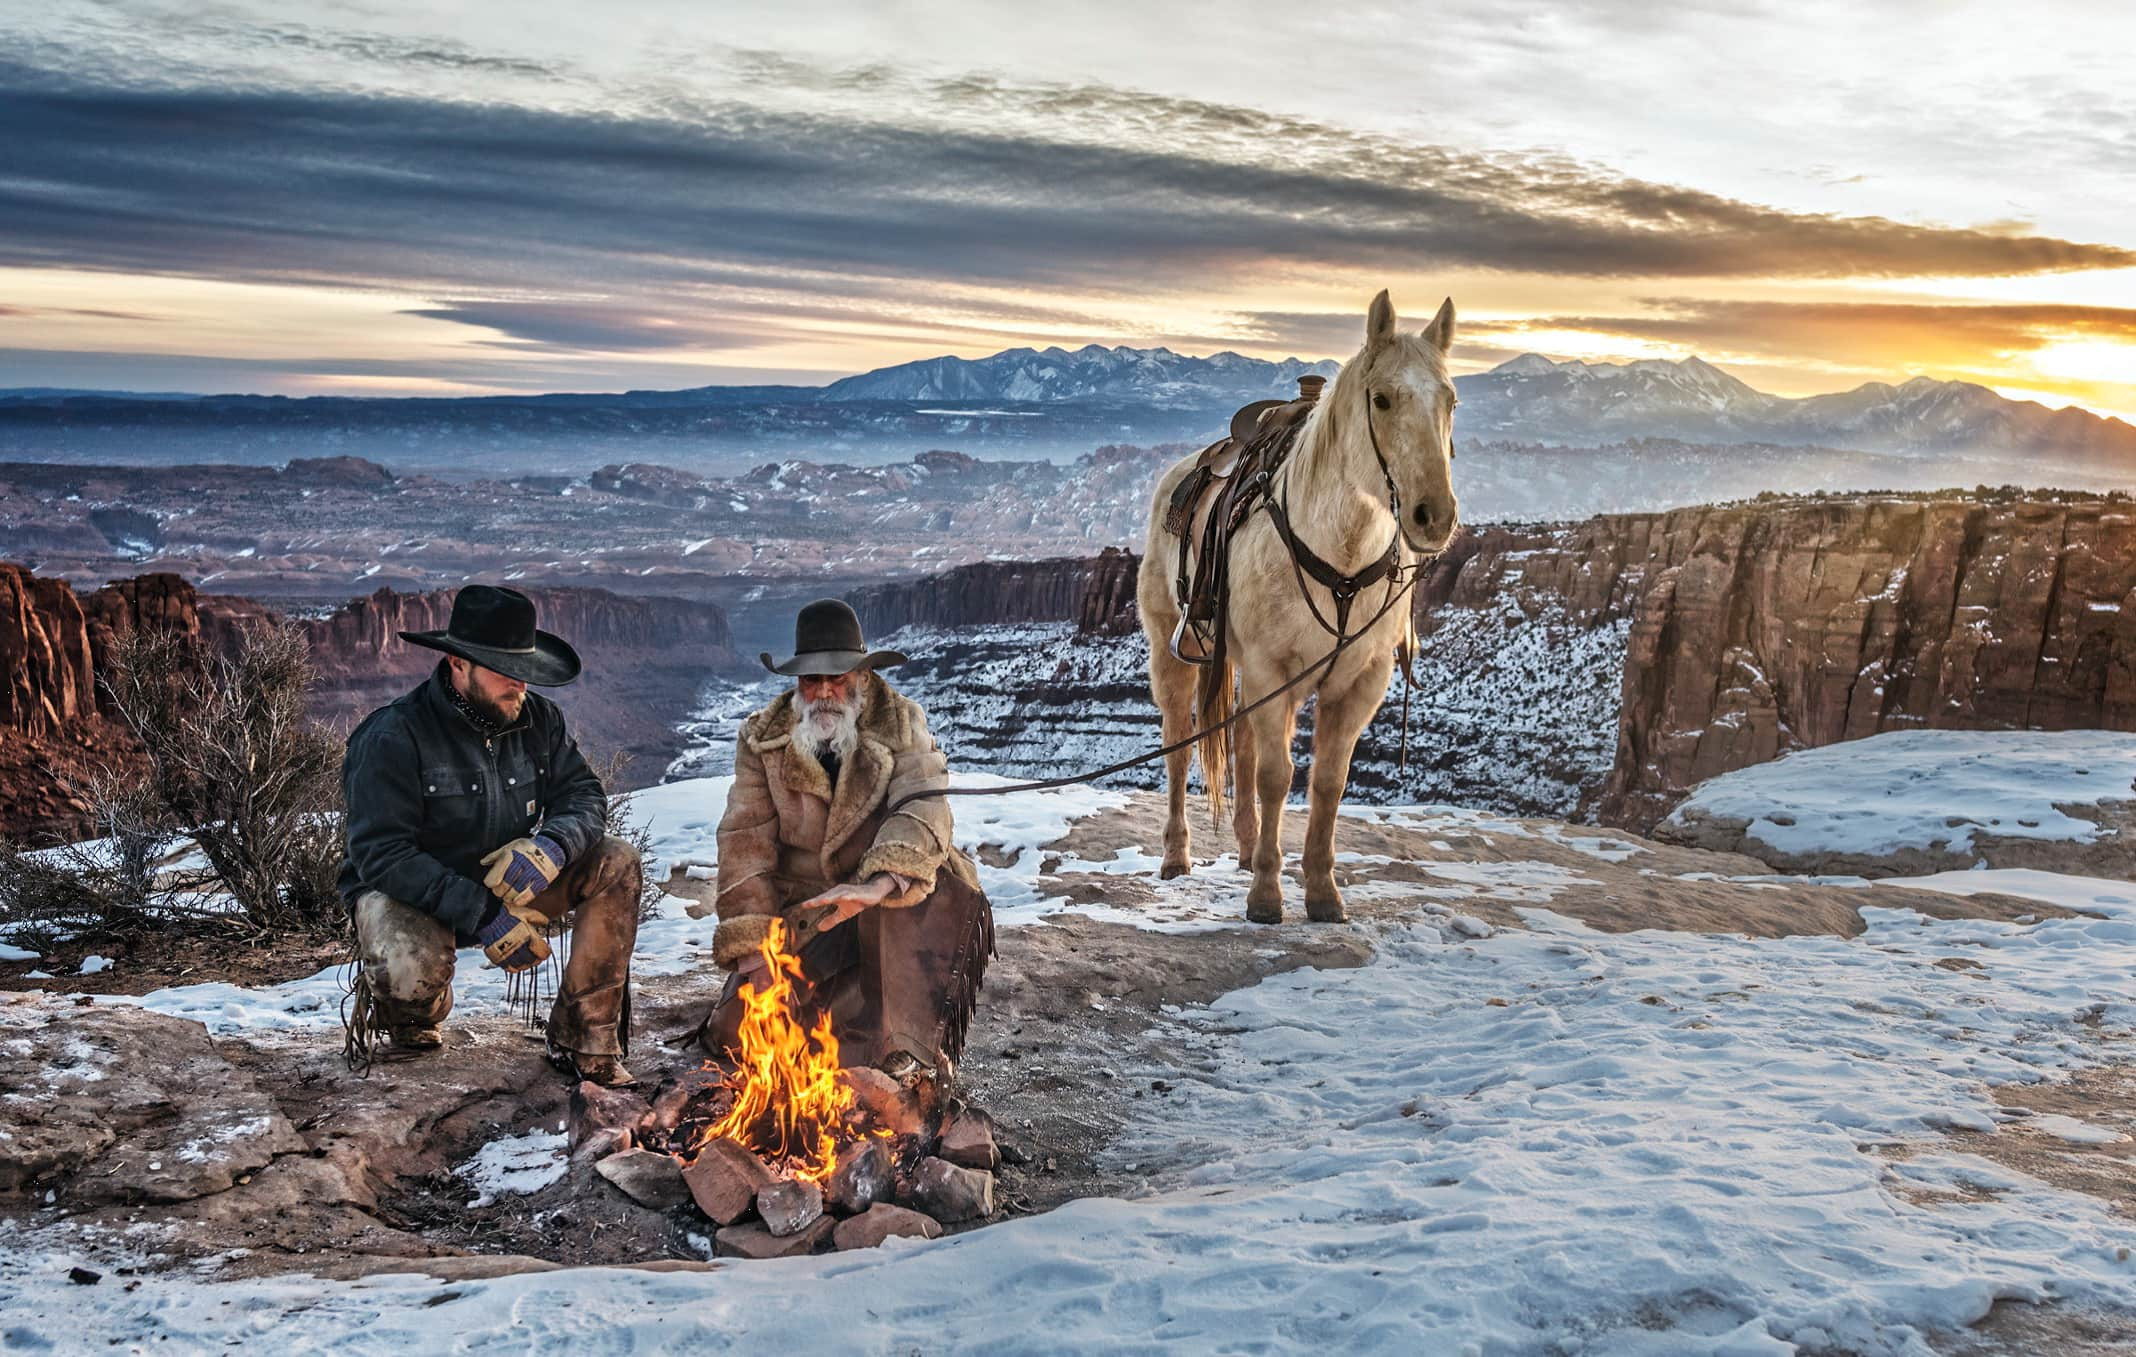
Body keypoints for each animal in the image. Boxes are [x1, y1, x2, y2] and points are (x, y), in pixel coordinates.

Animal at [1136, 286, 1469, 923]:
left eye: (1451, 401)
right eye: (1382, 399)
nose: (1433, 517)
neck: (1340, 559)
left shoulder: (1360, 681)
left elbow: (1328, 782)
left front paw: (1322, 892)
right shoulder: (1275, 672)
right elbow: (1274, 776)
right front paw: (1268, 895)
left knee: (1240, 743)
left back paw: (1244, 849)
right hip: (1173, 648)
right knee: (1178, 745)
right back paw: (1177, 856)